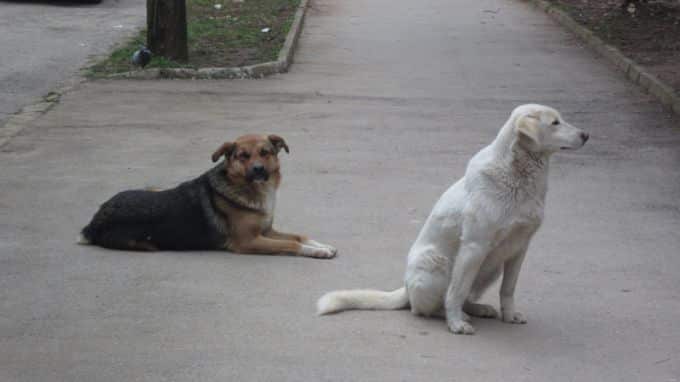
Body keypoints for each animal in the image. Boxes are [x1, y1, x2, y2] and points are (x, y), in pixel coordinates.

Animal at [79, 135, 338, 260]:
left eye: (265, 153)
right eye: (243, 156)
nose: (258, 170)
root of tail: (94, 220)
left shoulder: (266, 231)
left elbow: (299, 235)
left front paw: (323, 245)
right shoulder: (249, 241)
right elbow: (291, 243)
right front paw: (317, 252)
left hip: (153, 188)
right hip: (142, 241)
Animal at [318, 104, 588, 334]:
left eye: (561, 119)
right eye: (555, 122)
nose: (586, 134)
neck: (519, 178)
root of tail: (405, 287)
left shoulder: (519, 248)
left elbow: (508, 290)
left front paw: (509, 316)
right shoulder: (474, 247)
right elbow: (456, 292)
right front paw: (456, 324)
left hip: (492, 267)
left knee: (464, 297)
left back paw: (479, 309)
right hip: (437, 263)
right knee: (426, 307)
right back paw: (454, 315)